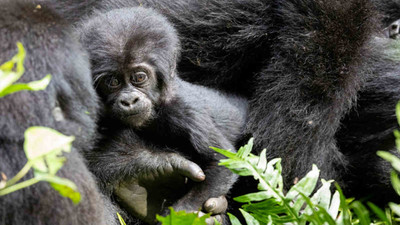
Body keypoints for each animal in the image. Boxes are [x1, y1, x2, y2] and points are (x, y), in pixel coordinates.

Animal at [78, 6, 247, 223]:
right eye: (113, 82)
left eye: (139, 77)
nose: (129, 101)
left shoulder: (184, 111)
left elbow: (222, 160)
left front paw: (180, 216)